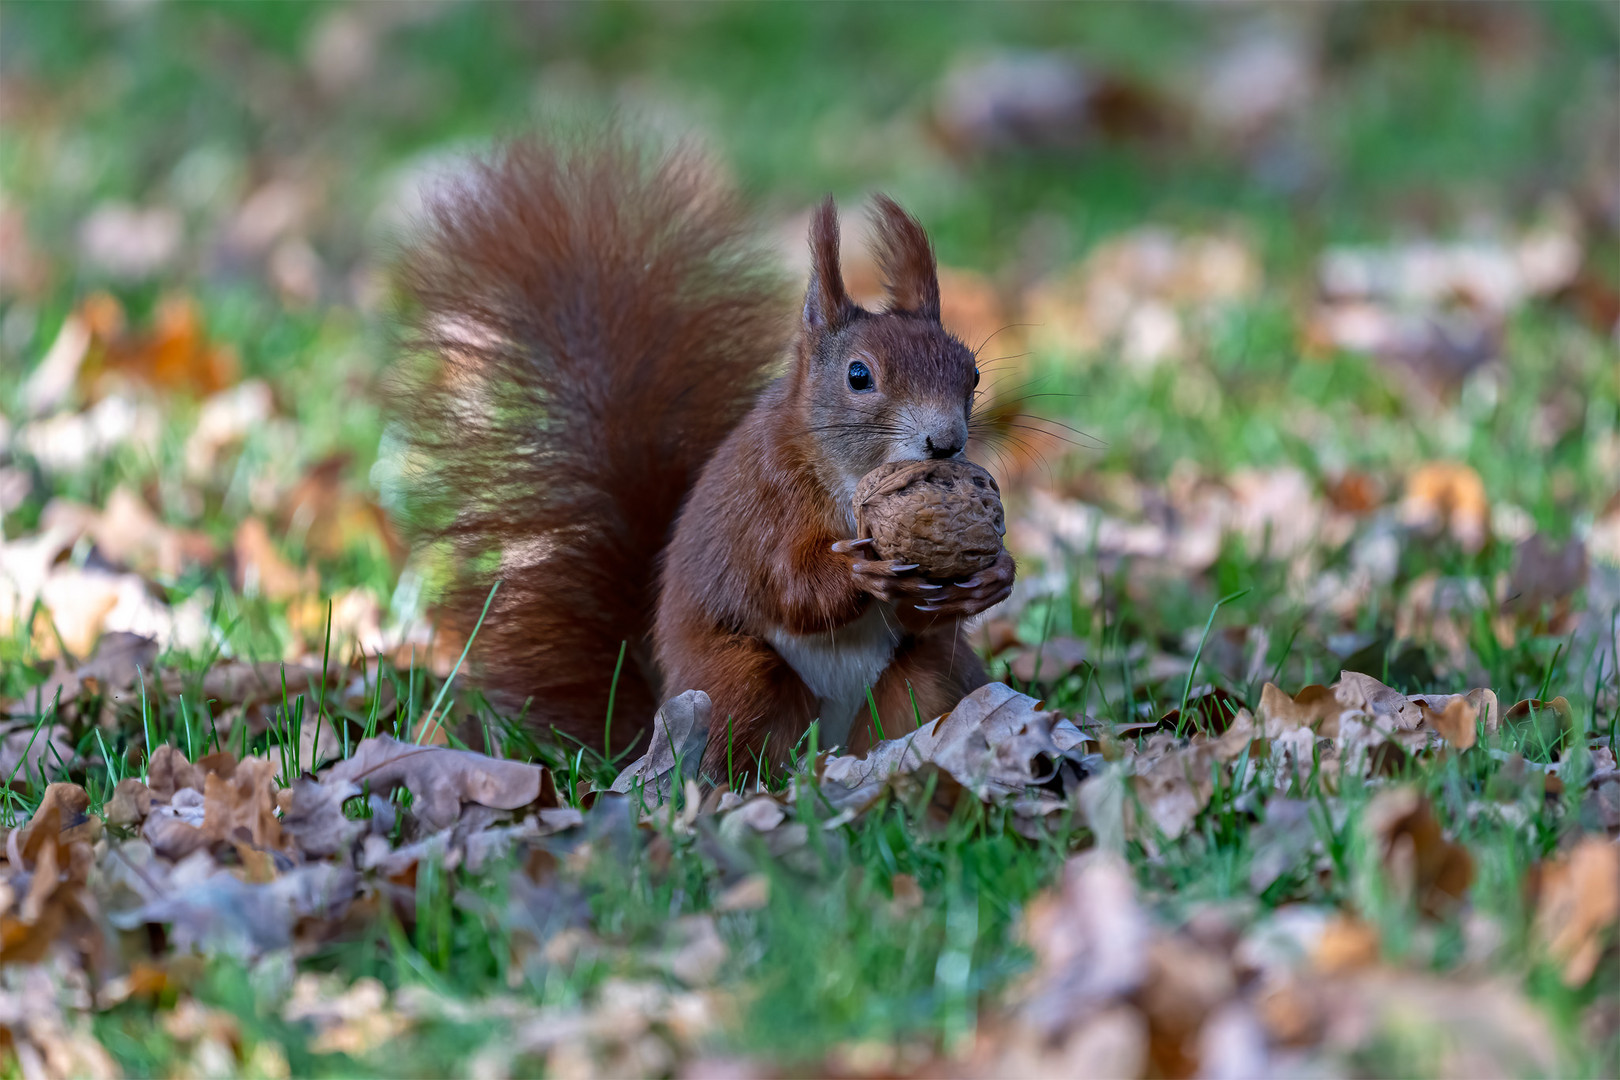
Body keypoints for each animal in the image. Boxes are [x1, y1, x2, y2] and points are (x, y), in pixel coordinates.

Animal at [390, 137, 1010, 777]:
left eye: (972, 372)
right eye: (858, 376)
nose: (946, 442)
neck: (847, 474)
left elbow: (919, 616)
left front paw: (992, 577)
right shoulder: (767, 502)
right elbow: (789, 588)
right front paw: (857, 571)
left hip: (923, 681)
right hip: (736, 679)